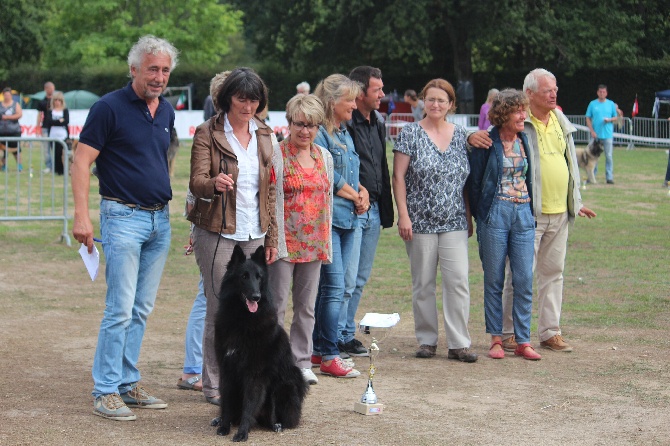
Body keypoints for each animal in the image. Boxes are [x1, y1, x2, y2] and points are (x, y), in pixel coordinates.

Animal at [211, 246, 308, 440]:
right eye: (244, 276)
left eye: (259, 277)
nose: (256, 297)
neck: (242, 320)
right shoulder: (226, 369)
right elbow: (226, 402)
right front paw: (225, 426)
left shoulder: (255, 374)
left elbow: (249, 405)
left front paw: (242, 432)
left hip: (288, 381)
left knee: (280, 416)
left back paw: (276, 424)